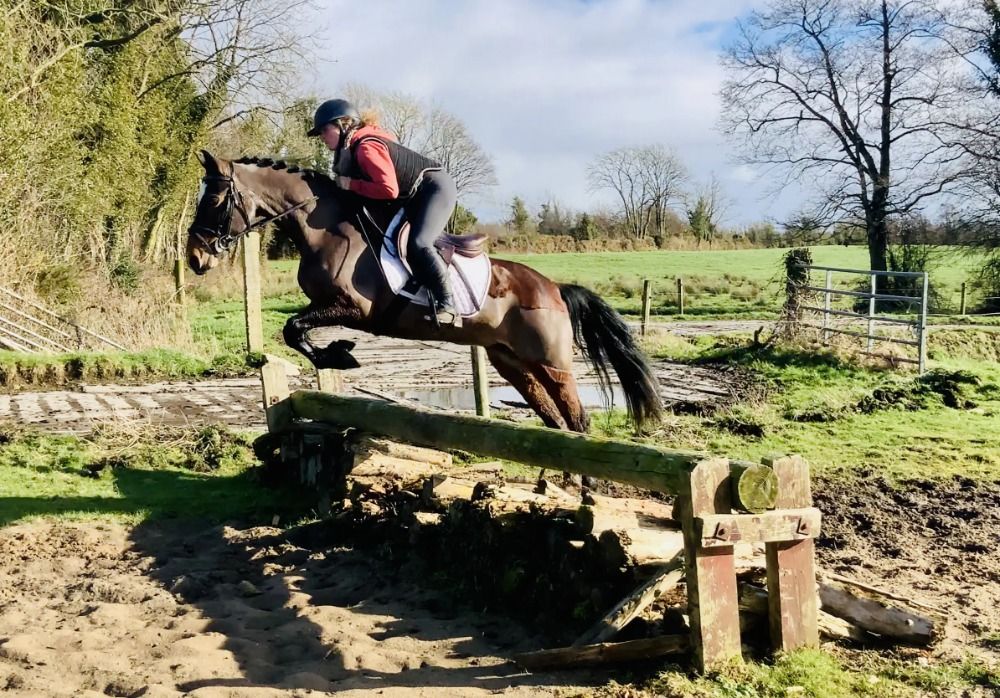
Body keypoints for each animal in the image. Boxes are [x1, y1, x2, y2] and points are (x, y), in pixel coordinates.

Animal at [186, 151, 662, 438]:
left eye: (214, 201)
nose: (194, 257)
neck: (327, 228)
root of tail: (555, 289)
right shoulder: (330, 307)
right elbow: (294, 329)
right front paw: (337, 354)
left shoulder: (353, 308)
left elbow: (292, 328)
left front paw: (339, 355)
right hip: (512, 363)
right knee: (555, 420)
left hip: (552, 362)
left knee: (578, 419)